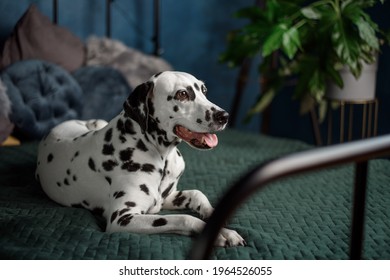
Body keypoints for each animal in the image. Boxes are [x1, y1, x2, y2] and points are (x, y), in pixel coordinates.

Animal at [36, 71, 244, 246]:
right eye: (182, 94)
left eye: (204, 90)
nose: (224, 116)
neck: (160, 156)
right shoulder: (123, 219)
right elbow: (184, 218)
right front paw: (218, 234)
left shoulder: (166, 198)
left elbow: (196, 194)